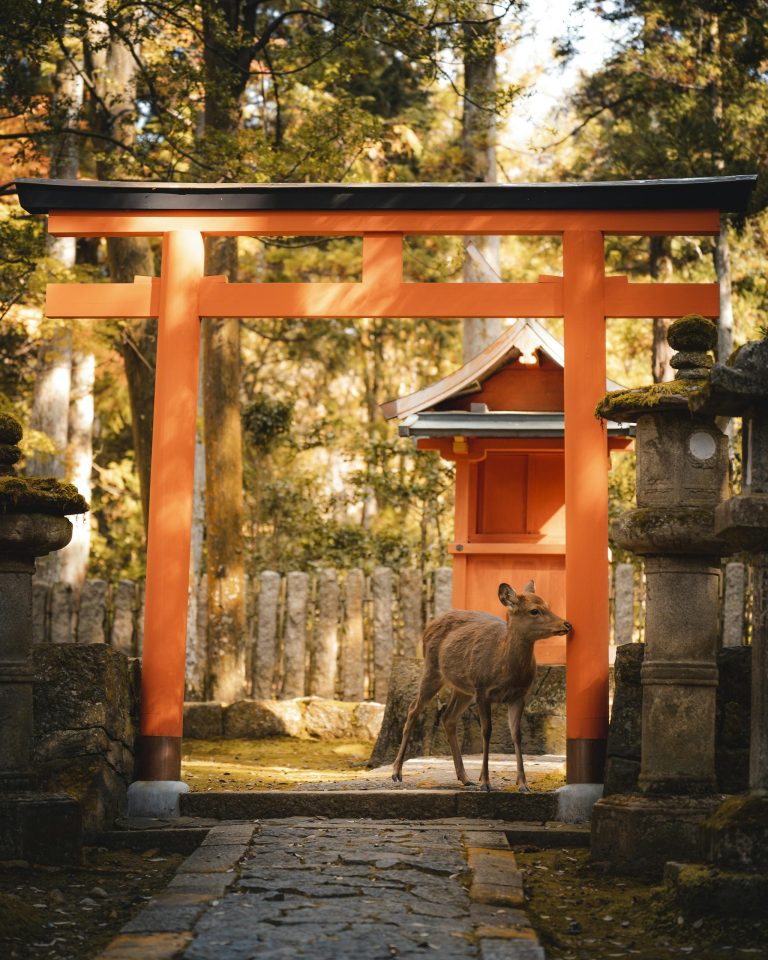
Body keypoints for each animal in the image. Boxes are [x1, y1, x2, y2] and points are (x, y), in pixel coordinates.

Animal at [392, 581, 571, 792]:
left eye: (548, 605)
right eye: (534, 610)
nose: (566, 624)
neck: (505, 667)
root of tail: (429, 625)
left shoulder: (520, 695)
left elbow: (517, 734)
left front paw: (523, 784)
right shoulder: (483, 689)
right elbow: (486, 732)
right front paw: (485, 782)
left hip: (463, 689)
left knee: (448, 717)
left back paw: (465, 777)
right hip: (433, 669)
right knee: (413, 709)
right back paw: (396, 772)